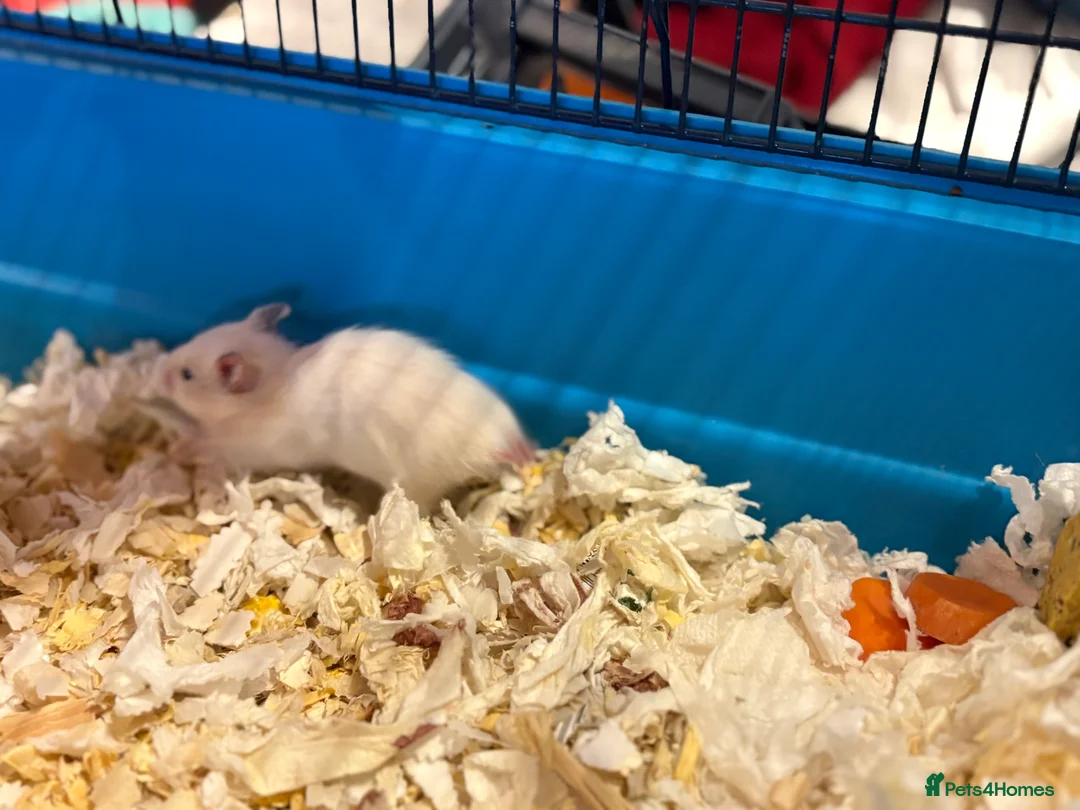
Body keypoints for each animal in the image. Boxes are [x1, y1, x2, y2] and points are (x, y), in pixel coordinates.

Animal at [150, 303, 535, 513]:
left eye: (186, 375)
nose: (158, 367)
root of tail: (502, 441)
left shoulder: (252, 450)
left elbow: (206, 443)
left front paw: (176, 448)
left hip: (419, 482)